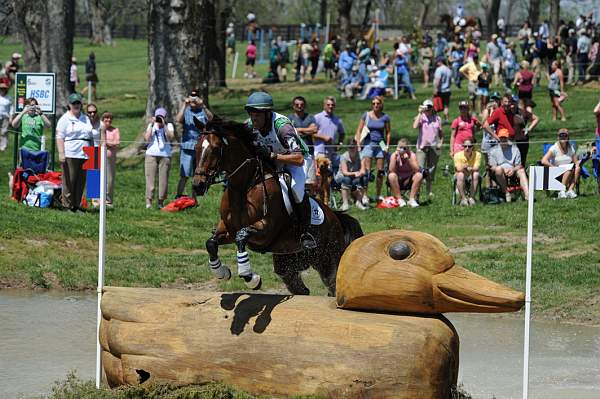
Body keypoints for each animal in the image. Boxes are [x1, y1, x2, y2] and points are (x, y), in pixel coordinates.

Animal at [192, 119, 364, 296]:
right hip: (289, 264)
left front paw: (251, 278)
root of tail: (336, 218)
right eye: (195, 148)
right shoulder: (228, 229)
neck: (245, 186)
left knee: (332, 285)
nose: (198, 185)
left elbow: (242, 236)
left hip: (328, 261)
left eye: (214, 149)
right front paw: (222, 272)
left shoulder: (266, 230)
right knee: (301, 289)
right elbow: (211, 243)